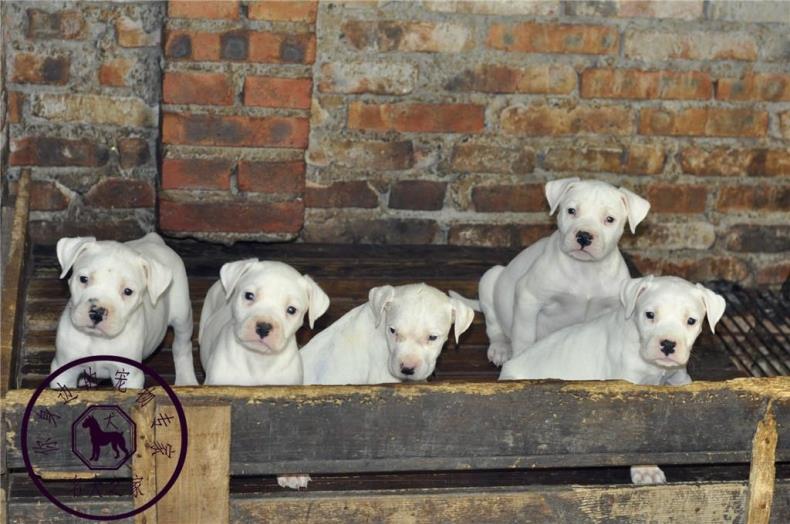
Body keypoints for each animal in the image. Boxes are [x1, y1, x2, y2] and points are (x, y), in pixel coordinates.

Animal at [51, 233, 198, 388]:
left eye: (128, 291)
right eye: (83, 279)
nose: (97, 313)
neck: (97, 338)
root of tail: (153, 239)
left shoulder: (129, 376)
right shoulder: (63, 372)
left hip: (182, 317)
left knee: (182, 346)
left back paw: (186, 379)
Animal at [458, 178, 648, 366]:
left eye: (609, 219)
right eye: (571, 211)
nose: (584, 236)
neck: (585, 268)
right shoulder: (527, 298)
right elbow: (524, 337)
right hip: (489, 280)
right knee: (494, 325)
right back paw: (500, 348)